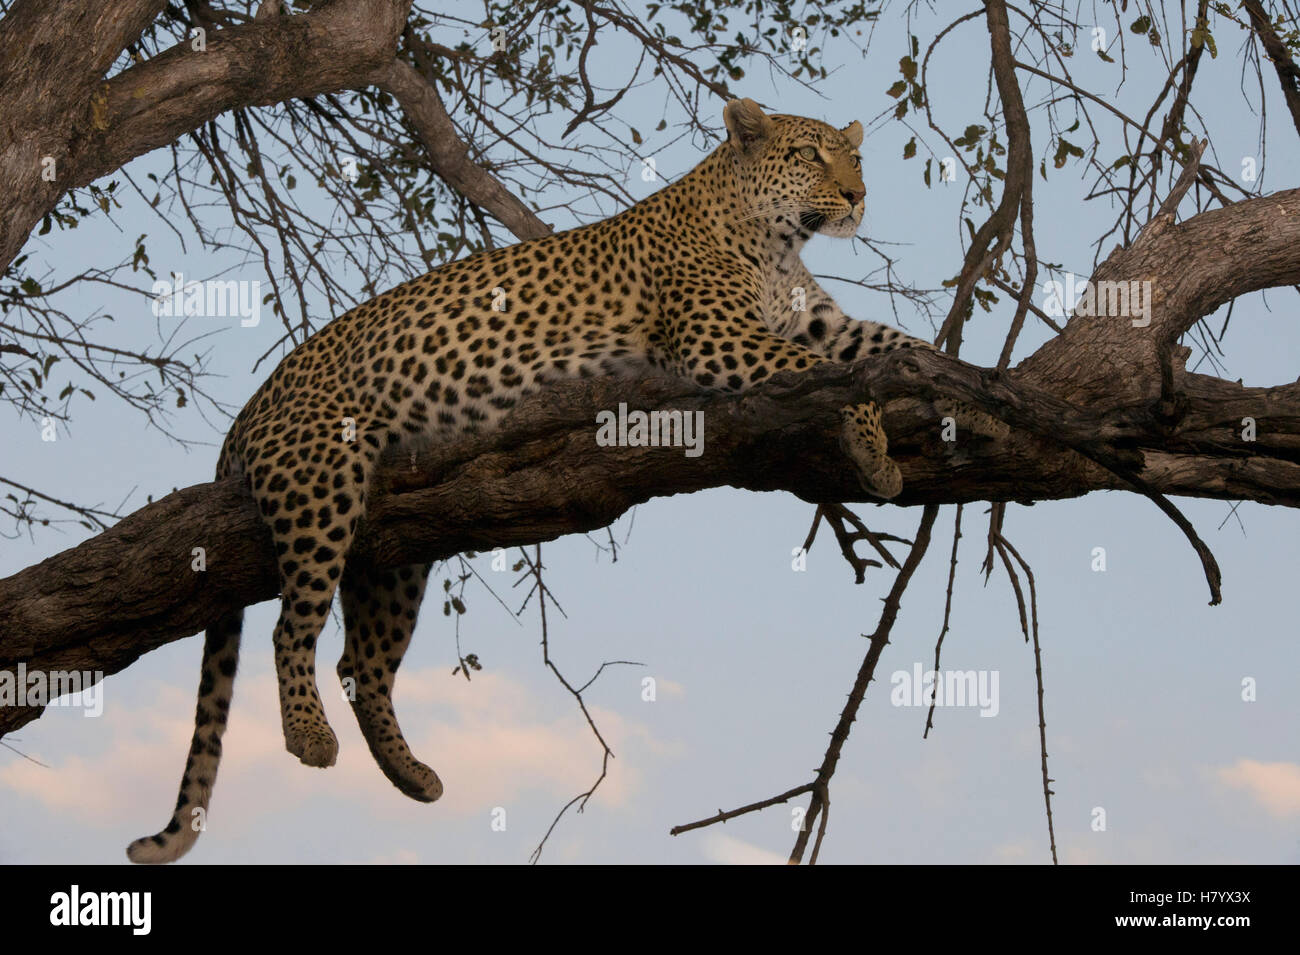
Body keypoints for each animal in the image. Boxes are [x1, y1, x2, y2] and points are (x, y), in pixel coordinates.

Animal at [124, 98, 1003, 867]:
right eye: (809, 155)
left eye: (856, 157)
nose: (857, 195)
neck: (777, 240)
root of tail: (251, 407)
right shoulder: (723, 342)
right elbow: (836, 376)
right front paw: (874, 441)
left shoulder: (822, 323)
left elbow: (908, 348)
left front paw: (979, 397)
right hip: (320, 485)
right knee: (291, 627)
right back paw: (310, 737)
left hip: (395, 545)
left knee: (361, 661)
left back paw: (412, 775)